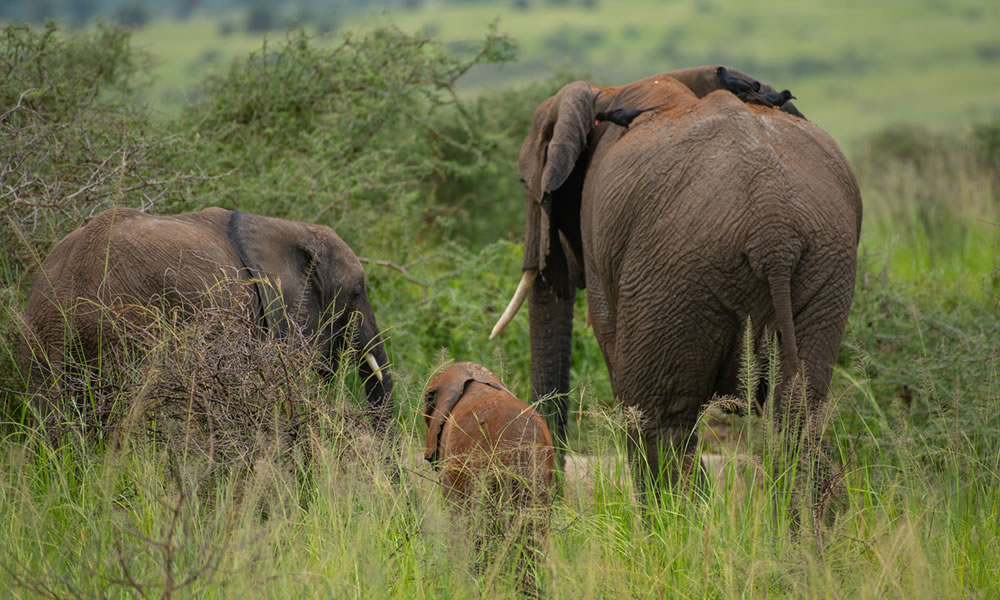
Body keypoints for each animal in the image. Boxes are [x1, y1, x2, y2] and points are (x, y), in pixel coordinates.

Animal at [490, 63, 860, 490]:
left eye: (524, 184)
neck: (605, 93)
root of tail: (775, 235)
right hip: (823, 268)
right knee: (798, 416)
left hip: (676, 275)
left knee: (659, 419)